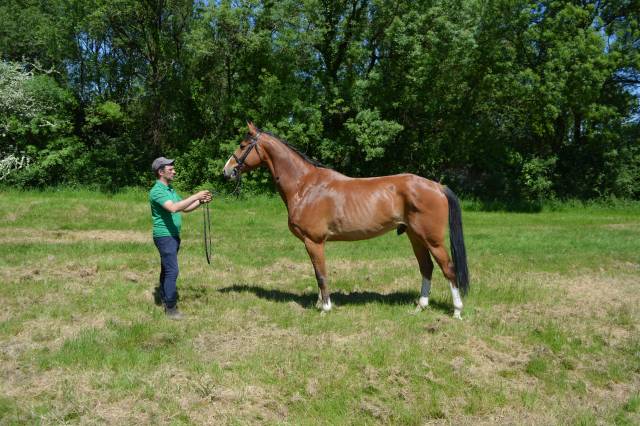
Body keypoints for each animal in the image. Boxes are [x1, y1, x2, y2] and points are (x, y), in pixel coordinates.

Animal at [221, 121, 470, 318]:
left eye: (242, 145)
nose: (226, 172)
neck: (306, 186)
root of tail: (437, 186)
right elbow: (317, 273)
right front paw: (320, 303)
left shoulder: (314, 241)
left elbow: (321, 274)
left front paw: (325, 308)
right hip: (415, 236)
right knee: (426, 267)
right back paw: (421, 306)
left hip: (432, 239)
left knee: (448, 268)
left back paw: (457, 311)